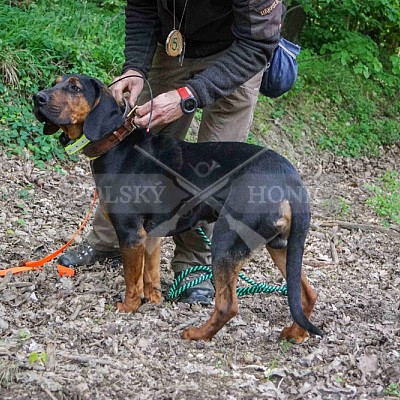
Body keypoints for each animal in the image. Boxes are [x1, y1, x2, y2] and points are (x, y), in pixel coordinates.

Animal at [32, 73, 324, 342]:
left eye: (74, 87)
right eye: (56, 82)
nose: (38, 98)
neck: (116, 144)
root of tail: (292, 182)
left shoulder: (130, 233)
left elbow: (131, 279)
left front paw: (128, 307)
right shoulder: (151, 234)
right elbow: (149, 275)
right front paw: (153, 301)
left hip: (227, 241)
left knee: (228, 305)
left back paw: (198, 334)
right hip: (281, 245)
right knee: (307, 293)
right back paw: (295, 334)